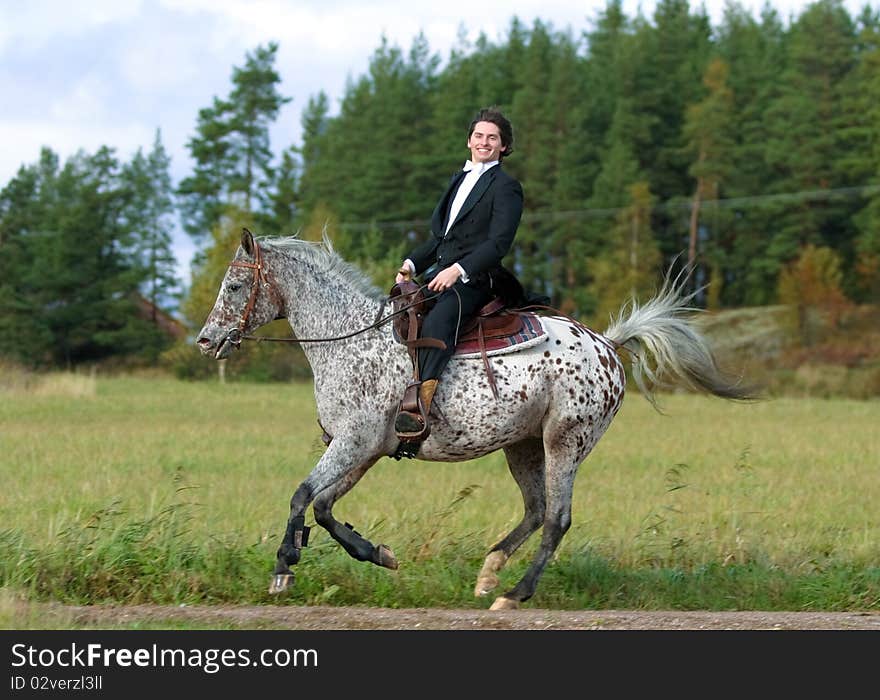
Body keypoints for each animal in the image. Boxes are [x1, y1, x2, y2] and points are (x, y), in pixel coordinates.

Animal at [194, 232, 748, 608]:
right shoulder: (363, 449)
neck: (351, 340)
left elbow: (302, 495)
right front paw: (379, 554)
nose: (205, 340)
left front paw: (283, 567)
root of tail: (609, 345)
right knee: (536, 510)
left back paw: (514, 594)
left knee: (557, 517)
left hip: (565, 441)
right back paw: (489, 572)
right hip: (522, 445)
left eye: (236, 284)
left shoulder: (353, 442)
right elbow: (326, 507)